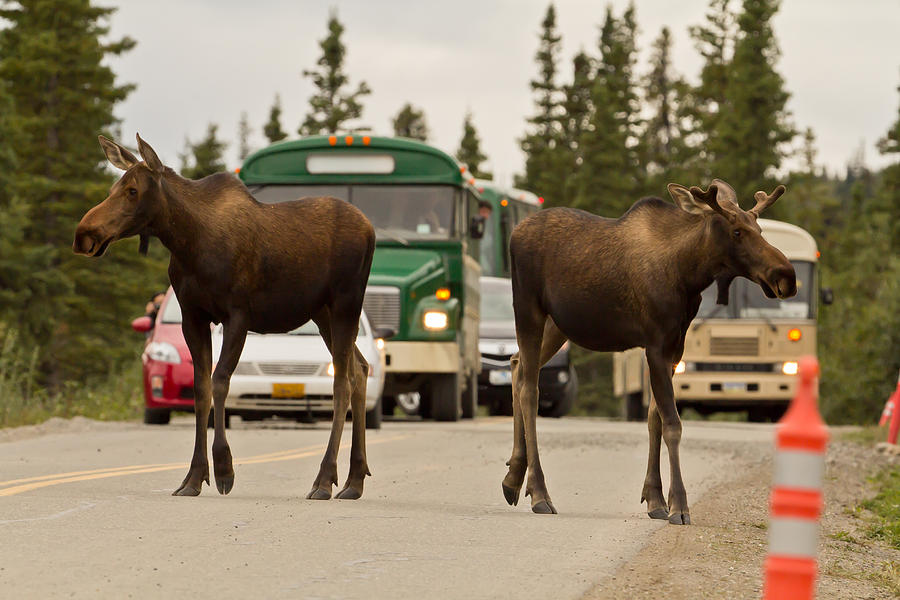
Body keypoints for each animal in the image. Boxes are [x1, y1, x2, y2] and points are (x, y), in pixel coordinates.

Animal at [72, 135, 376, 502]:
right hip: (322, 314)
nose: (84, 233)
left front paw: (224, 469)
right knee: (360, 370)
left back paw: (324, 479)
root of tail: (371, 229)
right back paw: (354, 480)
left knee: (342, 381)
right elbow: (201, 389)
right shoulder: (193, 316)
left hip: (346, 303)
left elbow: (220, 381)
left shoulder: (238, 314)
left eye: (132, 190)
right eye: (114, 186)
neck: (188, 242)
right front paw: (193, 477)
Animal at [502, 180, 800, 524]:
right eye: (737, 230)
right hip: (528, 309)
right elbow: (672, 424)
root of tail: (515, 232)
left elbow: (654, 418)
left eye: (759, 227)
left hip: (558, 325)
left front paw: (656, 499)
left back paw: (513, 477)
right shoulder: (656, 345)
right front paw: (679, 505)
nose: (786, 276)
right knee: (530, 388)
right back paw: (539, 492)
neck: (688, 275)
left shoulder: (675, 349)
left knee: (516, 364)